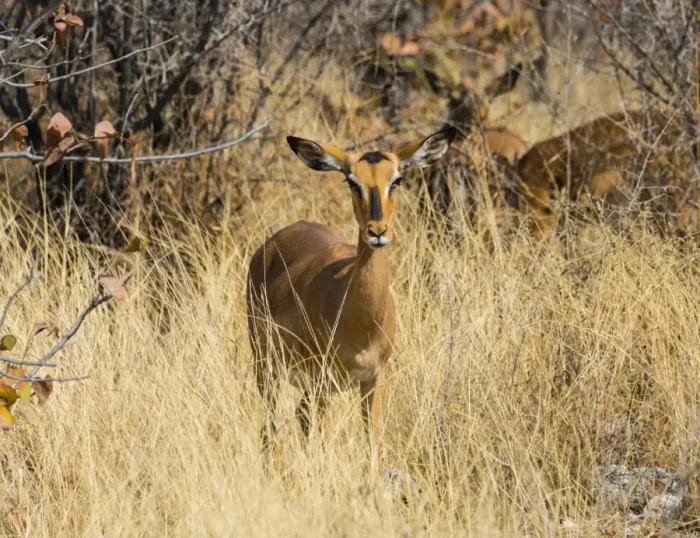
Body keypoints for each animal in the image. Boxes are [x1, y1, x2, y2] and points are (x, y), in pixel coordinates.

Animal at [246, 127, 457, 462]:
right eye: (351, 180)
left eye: (397, 179)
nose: (377, 231)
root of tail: (271, 242)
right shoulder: (323, 379)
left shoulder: (373, 379)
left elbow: (374, 444)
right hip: (268, 368)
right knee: (271, 427)